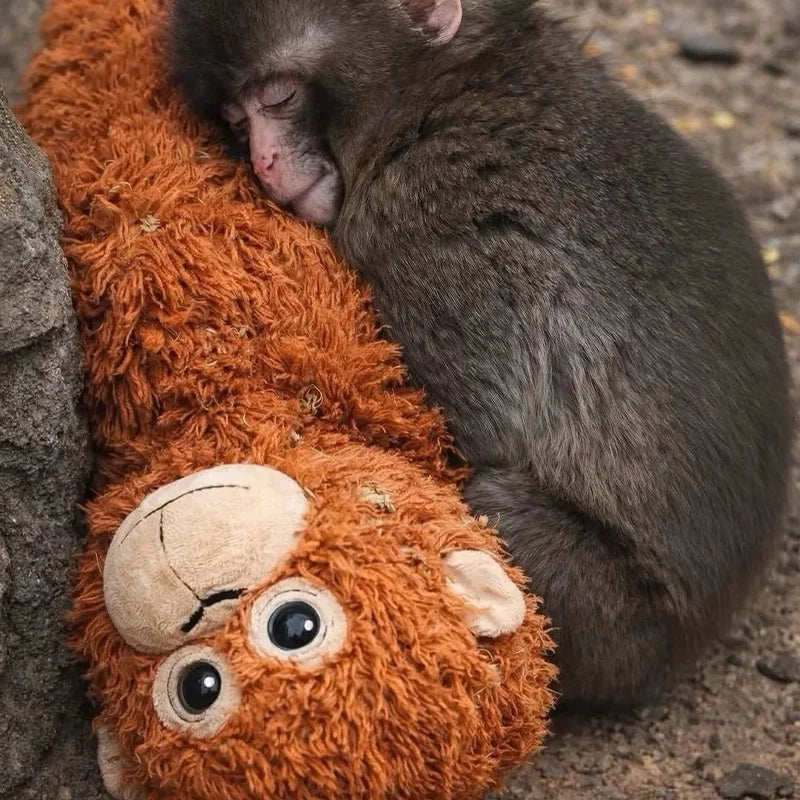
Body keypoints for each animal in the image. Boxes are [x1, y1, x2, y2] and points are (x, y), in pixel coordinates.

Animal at [168, 0, 794, 709]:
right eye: (235, 119)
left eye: (279, 96)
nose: (264, 161)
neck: (443, 91)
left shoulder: (427, 225)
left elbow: (477, 433)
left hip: (617, 625)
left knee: (495, 508)